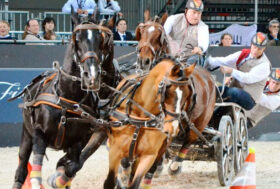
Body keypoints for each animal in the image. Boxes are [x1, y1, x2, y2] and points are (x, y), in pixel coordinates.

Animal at [10, 12, 118, 189]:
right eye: (77, 38)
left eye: (99, 40)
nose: (92, 75)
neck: (67, 97)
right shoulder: (39, 134)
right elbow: (36, 170)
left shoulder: (79, 141)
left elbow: (73, 166)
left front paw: (58, 178)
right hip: (26, 133)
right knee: (21, 170)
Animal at [103, 58, 214, 189]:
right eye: (168, 92)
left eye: (188, 95)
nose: (173, 127)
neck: (141, 117)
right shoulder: (115, 151)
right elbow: (109, 182)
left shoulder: (148, 156)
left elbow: (135, 182)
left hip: (198, 125)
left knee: (188, 140)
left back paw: (173, 167)